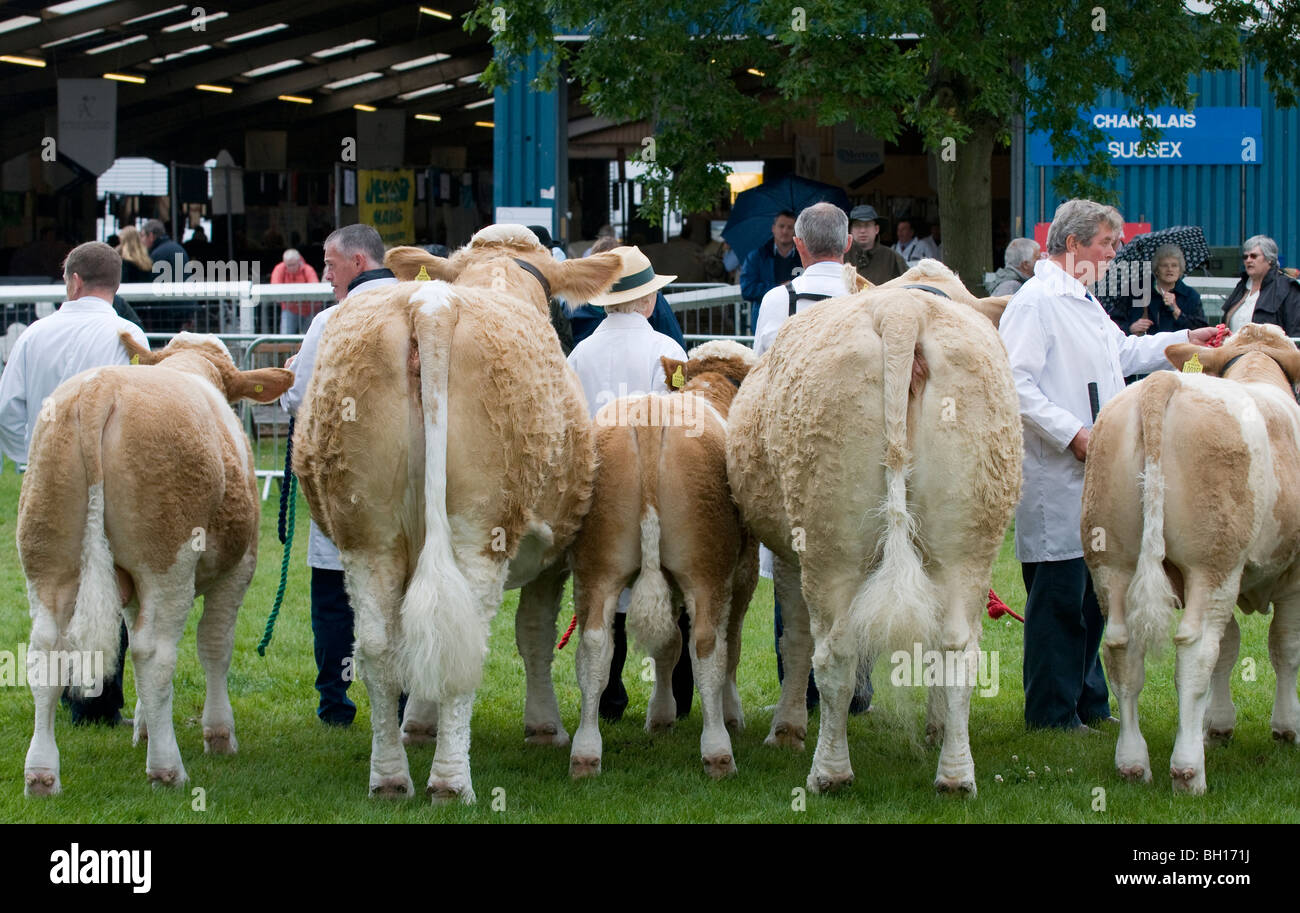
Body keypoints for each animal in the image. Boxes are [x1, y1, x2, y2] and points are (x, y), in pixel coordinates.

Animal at [21, 335, 291, 795]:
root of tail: (99, 389)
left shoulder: (130, 588)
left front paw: (145, 728)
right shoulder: (240, 568)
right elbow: (214, 646)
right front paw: (219, 734)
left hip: (45, 561)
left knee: (46, 651)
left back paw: (41, 773)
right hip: (168, 563)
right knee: (154, 652)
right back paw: (167, 769)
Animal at [728, 261, 1019, 795]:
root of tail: (902, 311)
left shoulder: (787, 554)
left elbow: (793, 639)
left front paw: (786, 730)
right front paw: (937, 726)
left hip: (828, 543)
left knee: (833, 652)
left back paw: (829, 772)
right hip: (968, 542)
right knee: (958, 648)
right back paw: (955, 773)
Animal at [1081, 325, 1300, 795]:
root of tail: (1165, 382)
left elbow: (1231, 647)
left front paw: (1215, 725)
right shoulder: (1290, 574)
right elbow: (1283, 647)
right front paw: (1287, 726)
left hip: (1111, 561)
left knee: (1122, 650)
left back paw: (1132, 762)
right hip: (1211, 565)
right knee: (1196, 651)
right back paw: (1187, 769)